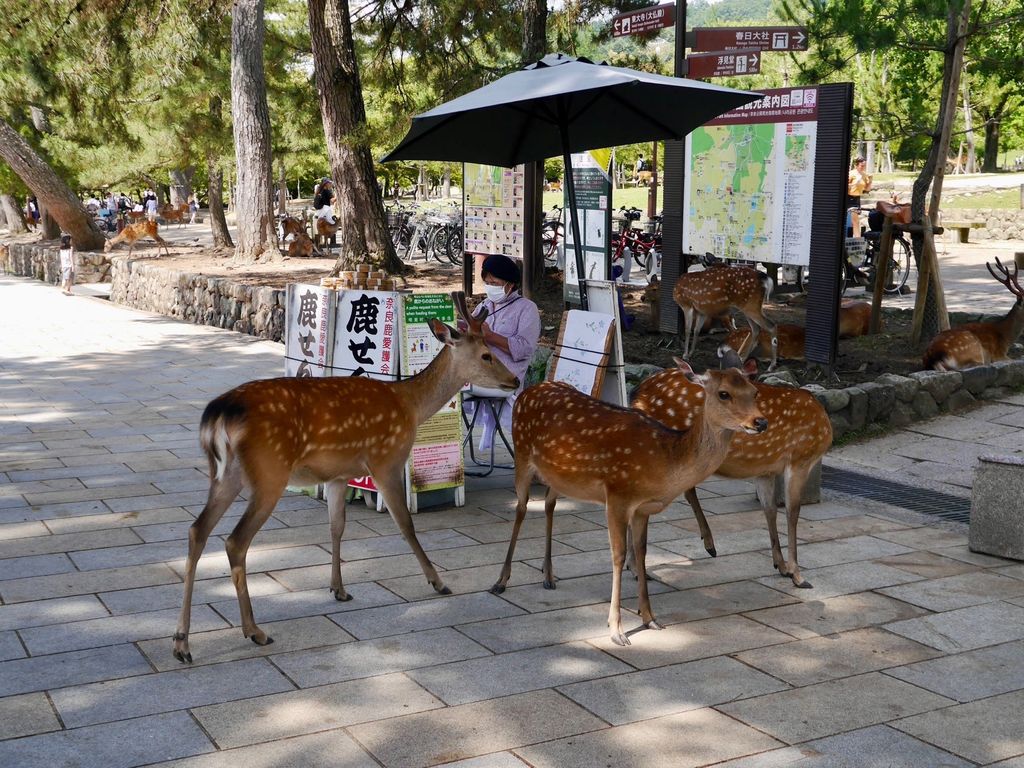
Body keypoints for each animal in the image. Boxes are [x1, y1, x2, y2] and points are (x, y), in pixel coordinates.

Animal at [173, 290, 520, 663]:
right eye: (486, 354)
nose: (515, 379)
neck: (410, 406)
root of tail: (217, 416)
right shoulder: (386, 460)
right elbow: (405, 524)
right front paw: (438, 581)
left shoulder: (338, 475)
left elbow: (336, 527)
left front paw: (339, 589)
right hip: (269, 472)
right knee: (235, 541)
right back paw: (254, 631)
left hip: (224, 475)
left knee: (197, 531)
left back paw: (182, 642)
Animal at [491, 354, 765, 651]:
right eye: (724, 393)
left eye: (754, 391)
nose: (761, 422)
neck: (665, 461)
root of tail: (526, 391)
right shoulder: (617, 496)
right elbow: (618, 556)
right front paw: (616, 630)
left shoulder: (643, 509)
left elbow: (642, 553)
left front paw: (650, 618)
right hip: (522, 454)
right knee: (521, 508)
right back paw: (501, 581)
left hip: (558, 476)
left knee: (549, 505)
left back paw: (548, 575)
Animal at [630, 354, 831, 589]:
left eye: (755, 392)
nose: (761, 423)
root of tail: (638, 393)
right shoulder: (801, 458)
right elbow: (793, 513)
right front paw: (798, 575)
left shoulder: (765, 470)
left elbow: (770, 509)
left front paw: (780, 566)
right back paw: (638, 569)